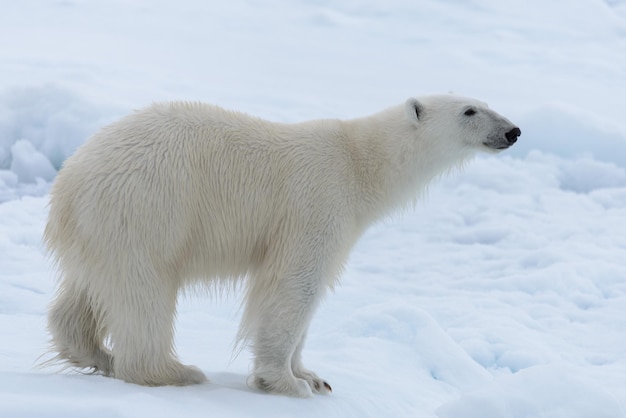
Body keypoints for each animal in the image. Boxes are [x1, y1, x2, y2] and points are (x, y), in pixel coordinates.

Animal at [44, 95, 520, 398]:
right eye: (470, 110)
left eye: (482, 101)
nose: (514, 131)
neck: (360, 163)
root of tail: (68, 182)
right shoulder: (317, 204)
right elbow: (296, 286)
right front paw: (285, 383)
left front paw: (312, 376)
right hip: (147, 209)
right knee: (143, 292)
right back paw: (173, 370)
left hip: (103, 228)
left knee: (85, 293)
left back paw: (98, 354)